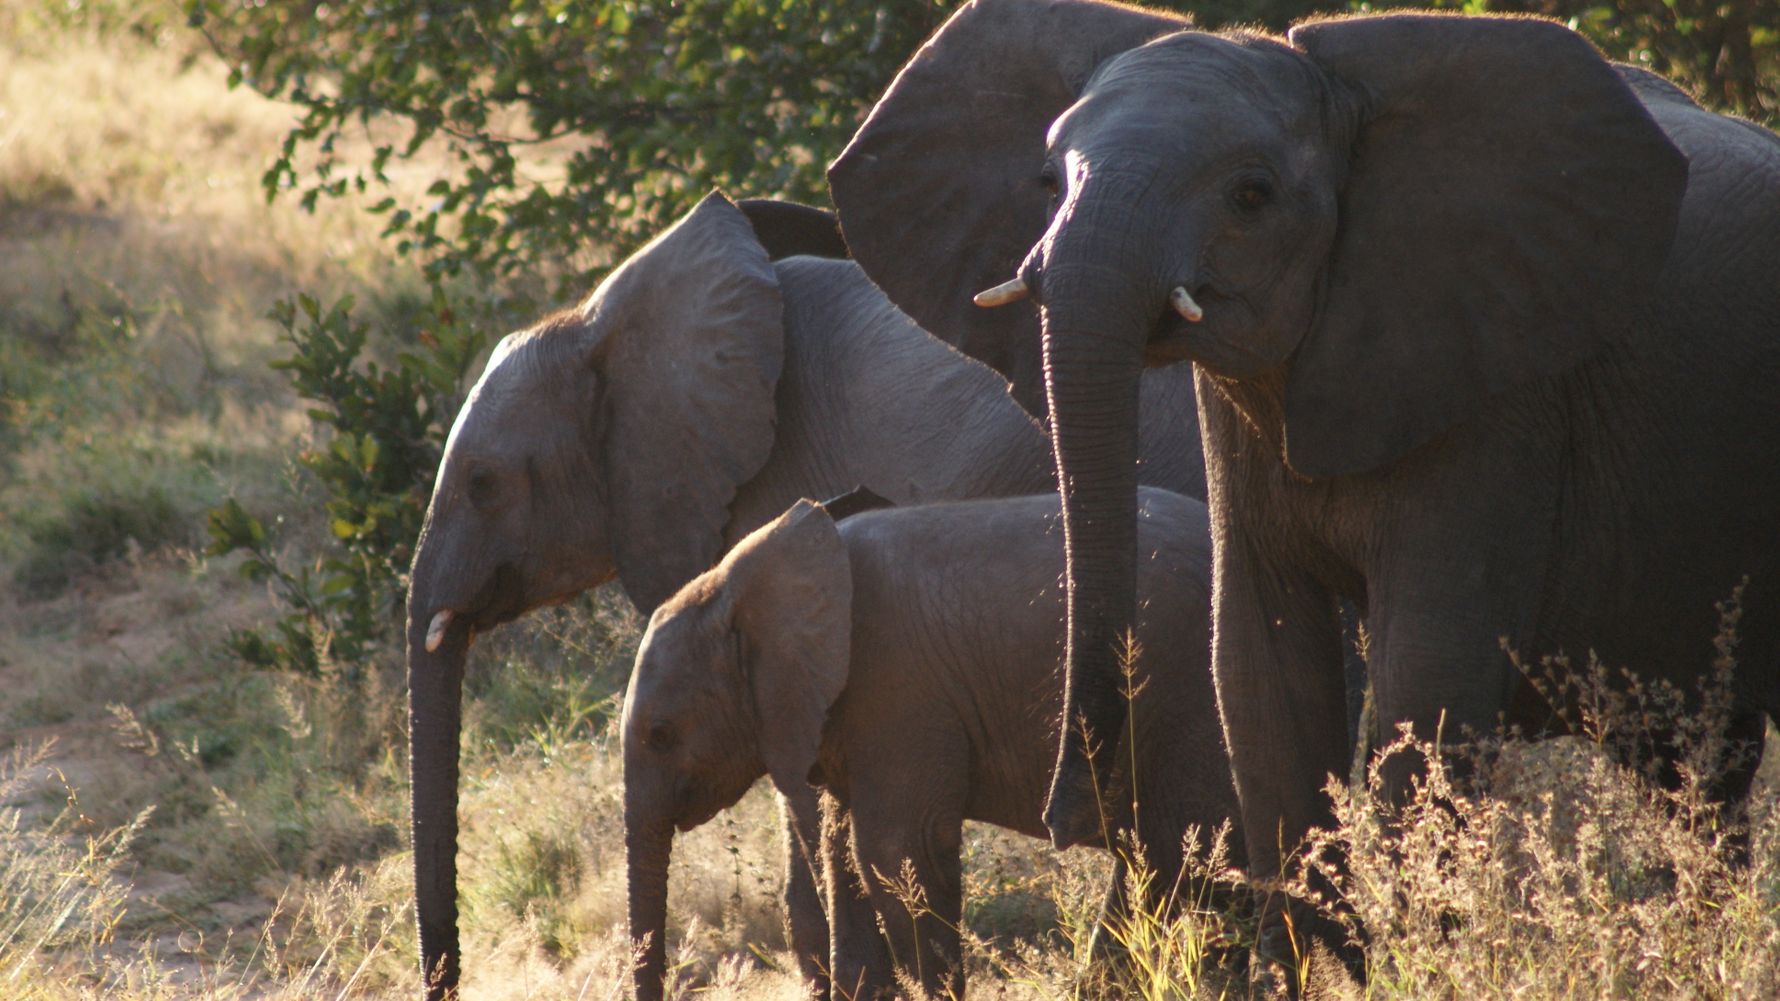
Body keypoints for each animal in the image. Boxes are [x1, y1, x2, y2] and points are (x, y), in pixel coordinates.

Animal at [622, 489, 1241, 1001]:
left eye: (661, 735)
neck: (737, 584)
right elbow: (843, 855)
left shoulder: (895, 685)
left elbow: (895, 851)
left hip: (1184, 695)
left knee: (1185, 856)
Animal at [829, 0, 1780, 980]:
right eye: (1049, 179)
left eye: (1251, 195)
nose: (1069, 817)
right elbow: (1261, 669)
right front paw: (1318, 969)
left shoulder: (1503, 392)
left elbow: (1424, 678)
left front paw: (1408, 969)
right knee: (1696, 763)